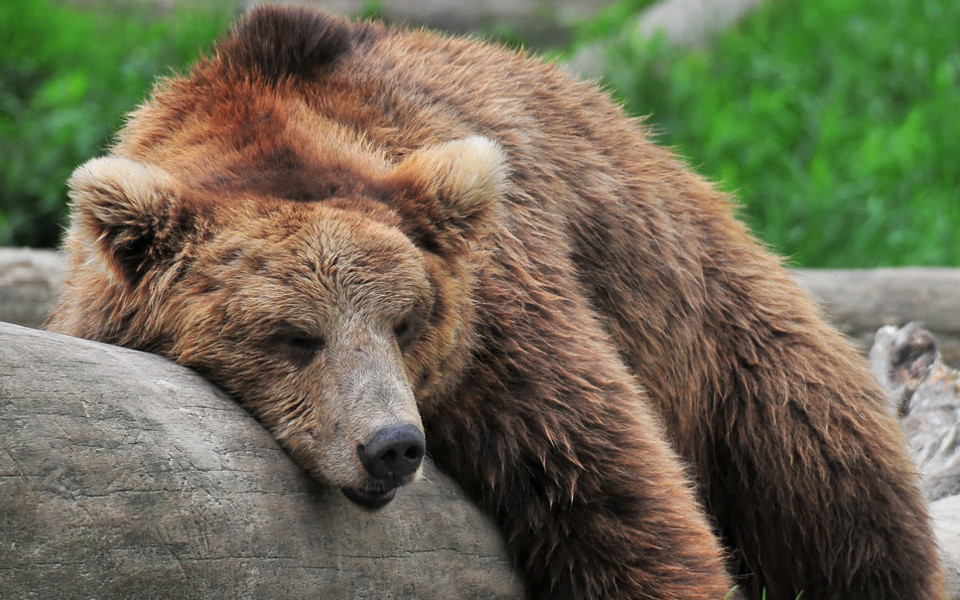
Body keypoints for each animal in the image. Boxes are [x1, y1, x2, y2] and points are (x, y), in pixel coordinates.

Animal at [48, 5, 940, 600]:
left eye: (406, 323)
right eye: (294, 335)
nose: (392, 445)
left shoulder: (508, 331)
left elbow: (617, 499)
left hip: (721, 331)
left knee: (838, 502)